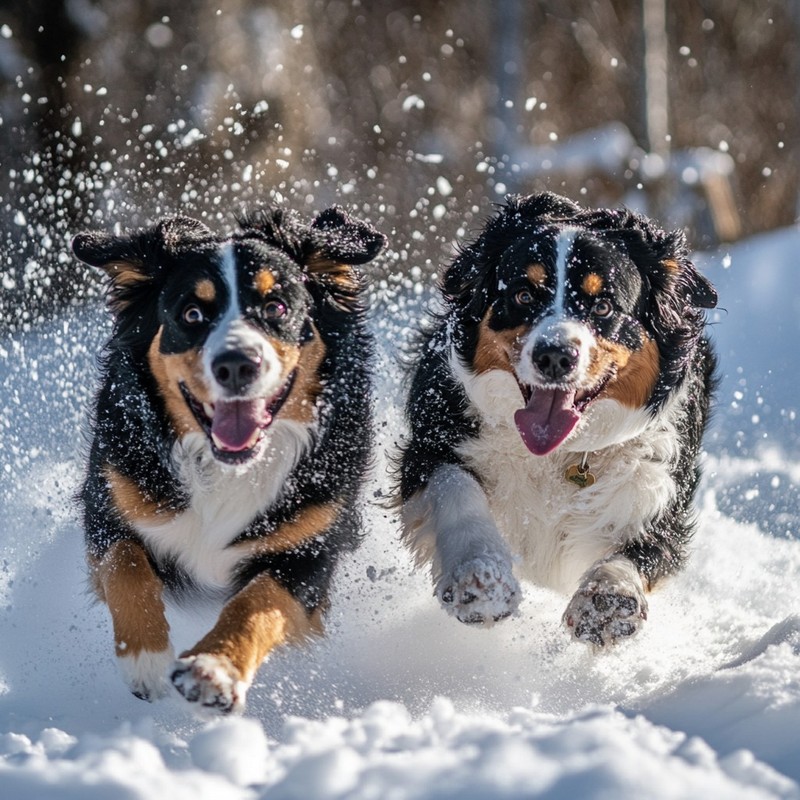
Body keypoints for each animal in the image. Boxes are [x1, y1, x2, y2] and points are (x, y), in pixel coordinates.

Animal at [73, 206, 386, 712]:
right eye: (192, 313)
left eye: (277, 306)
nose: (237, 364)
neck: (227, 468)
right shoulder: (109, 499)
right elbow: (125, 564)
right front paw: (147, 659)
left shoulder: (309, 551)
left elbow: (255, 603)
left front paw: (212, 668)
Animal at [400, 195, 720, 648]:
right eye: (522, 295)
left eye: (603, 305)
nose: (554, 355)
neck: (559, 453)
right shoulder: (432, 442)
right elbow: (456, 488)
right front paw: (479, 576)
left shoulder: (661, 490)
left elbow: (642, 548)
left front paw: (608, 600)